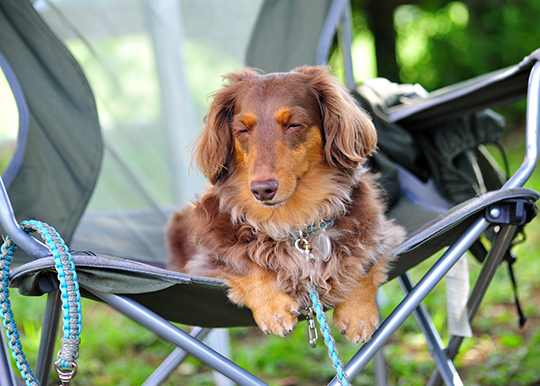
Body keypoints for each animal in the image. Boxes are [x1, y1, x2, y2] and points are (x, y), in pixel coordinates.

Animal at [169, 66, 404, 344]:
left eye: (294, 125)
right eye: (243, 130)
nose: (262, 190)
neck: (293, 222)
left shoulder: (381, 233)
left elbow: (364, 259)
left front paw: (358, 312)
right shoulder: (207, 260)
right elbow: (244, 263)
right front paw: (273, 308)